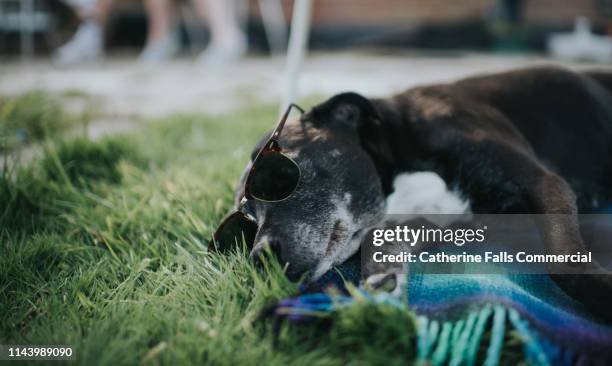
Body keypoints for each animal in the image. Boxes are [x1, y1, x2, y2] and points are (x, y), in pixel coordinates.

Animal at [215, 67, 612, 318]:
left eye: (278, 177)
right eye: (246, 225)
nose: (259, 257)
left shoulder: (544, 184)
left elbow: (565, 264)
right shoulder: (427, 224)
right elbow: (383, 250)